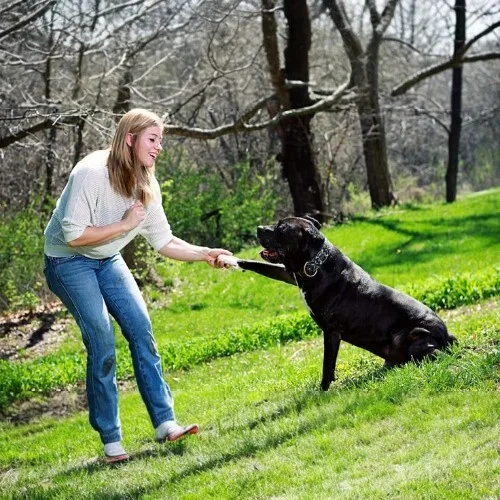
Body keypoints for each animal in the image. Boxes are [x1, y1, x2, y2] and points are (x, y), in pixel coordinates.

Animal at [236, 217, 456, 392]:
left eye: (281, 229)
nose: (259, 227)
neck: (315, 264)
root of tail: (445, 335)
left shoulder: (331, 331)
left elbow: (327, 363)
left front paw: (323, 390)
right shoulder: (291, 274)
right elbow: (263, 267)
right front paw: (237, 261)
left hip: (414, 336)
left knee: (436, 355)